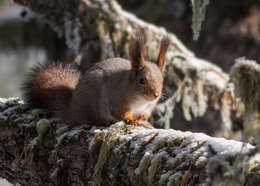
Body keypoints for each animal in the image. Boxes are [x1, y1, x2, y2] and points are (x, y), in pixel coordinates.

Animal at [22, 32, 171, 128]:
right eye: (141, 80)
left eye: (162, 79)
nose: (156, 94)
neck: (141, 101)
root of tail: (72, 107)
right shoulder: (116, 99)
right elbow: (121, 112)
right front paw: (130, 120)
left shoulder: (147, 109)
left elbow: (143, 116)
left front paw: (146, 122)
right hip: (92, 103)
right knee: (89, 119)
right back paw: (103, 122)